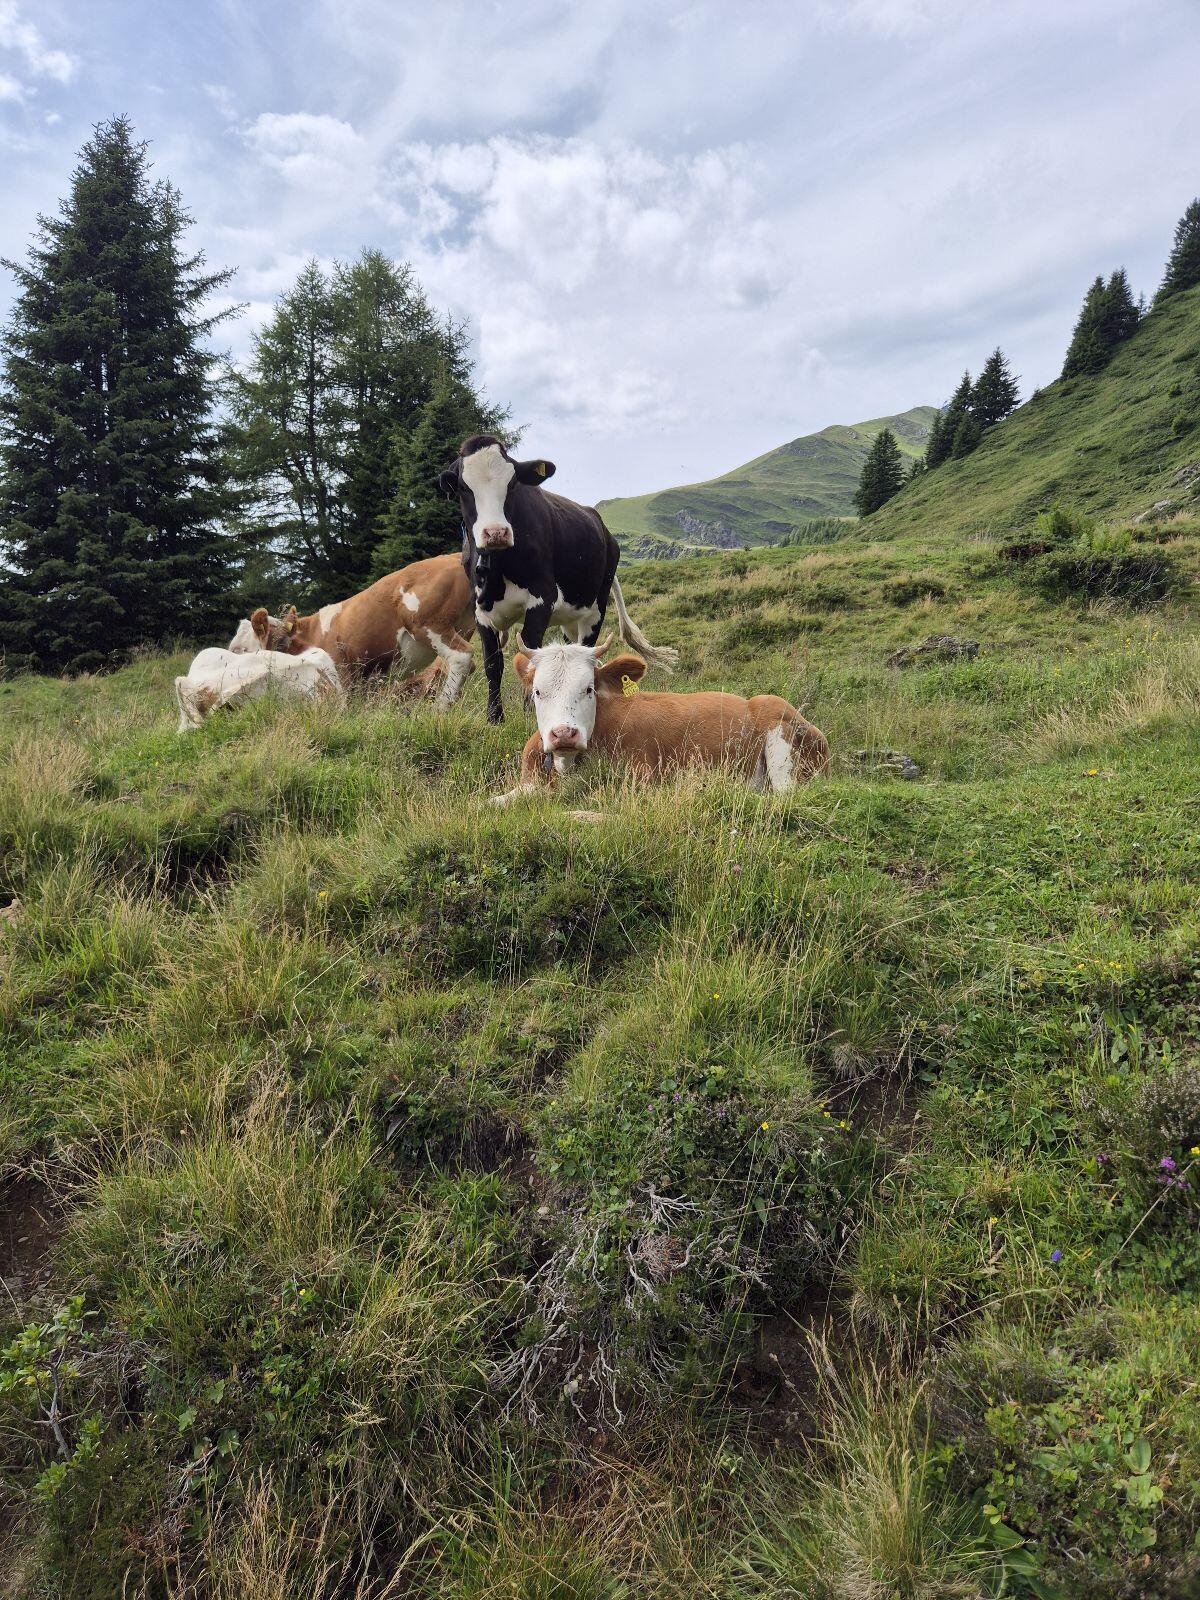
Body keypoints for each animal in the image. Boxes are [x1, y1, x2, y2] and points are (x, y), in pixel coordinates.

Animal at [234, 554, 476, 708]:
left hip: (428, 624)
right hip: (463, 626)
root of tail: (452, 557)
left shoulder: (340, 675)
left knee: (461, 657)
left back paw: (440, 709)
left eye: (240, 650)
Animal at [438, 435, 678, 723]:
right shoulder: (480, 609)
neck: (498, 568)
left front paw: (531, 714)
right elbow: (492, 664)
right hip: (569, 618)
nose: (496, 533)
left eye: (512, 483)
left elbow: (530, 657)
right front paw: (495, 718)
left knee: (587, 651)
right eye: (464, 487)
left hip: (596, 607)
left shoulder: (542, 599)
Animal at [493, 641, 829, 804]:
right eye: (538, 691)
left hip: (779, 733)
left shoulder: (642, 778)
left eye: (589, 688)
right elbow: (487, 803)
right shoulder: (528, 783)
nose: (564, 733)